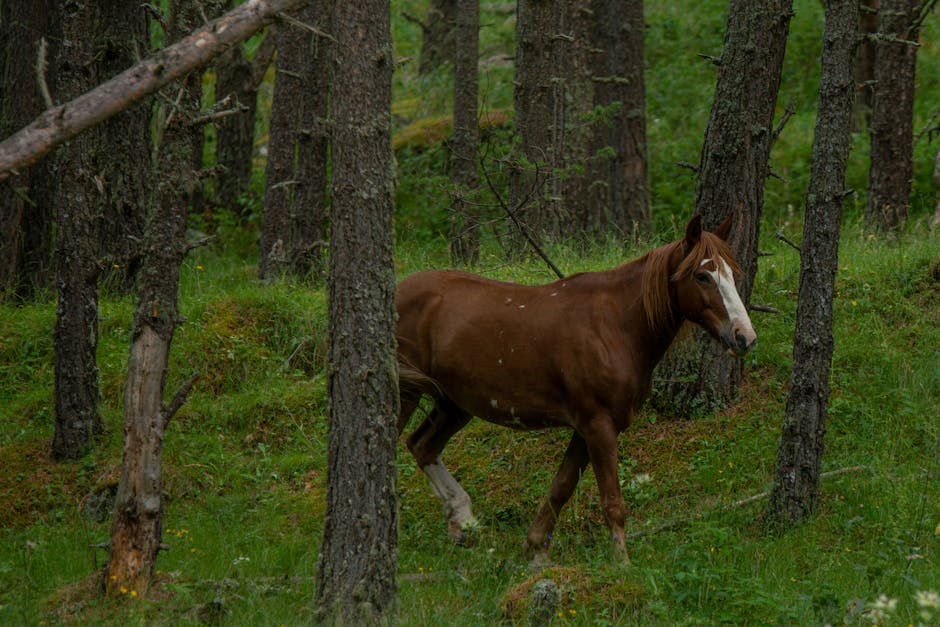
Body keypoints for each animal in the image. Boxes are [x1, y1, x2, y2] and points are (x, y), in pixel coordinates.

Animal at [394, 216, 756, 564]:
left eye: (731, 273)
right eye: (702, 276)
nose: (745, 337)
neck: (616, 327)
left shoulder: (586, 429)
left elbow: (561, 488)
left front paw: (536, 551)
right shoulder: (598, 426)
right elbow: (612, 501)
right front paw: (621, 563)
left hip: (455, 404)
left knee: (422, 446)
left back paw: (463, 521)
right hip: (406, 395)